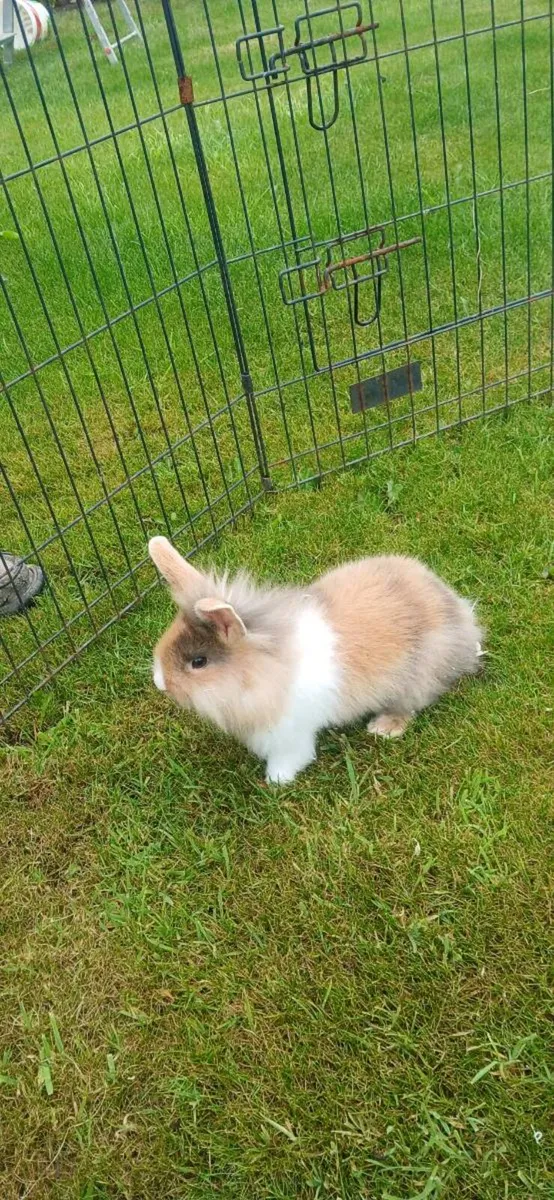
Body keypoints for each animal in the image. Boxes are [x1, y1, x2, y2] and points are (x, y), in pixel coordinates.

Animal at [148, 536, 484, 785]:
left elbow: (291, 757)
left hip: (416, 680)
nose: (160, 682)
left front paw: (276, 781)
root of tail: (462, 618)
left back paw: (383, 728)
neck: (263, 670)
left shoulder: (290, 733)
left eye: (199, 661)